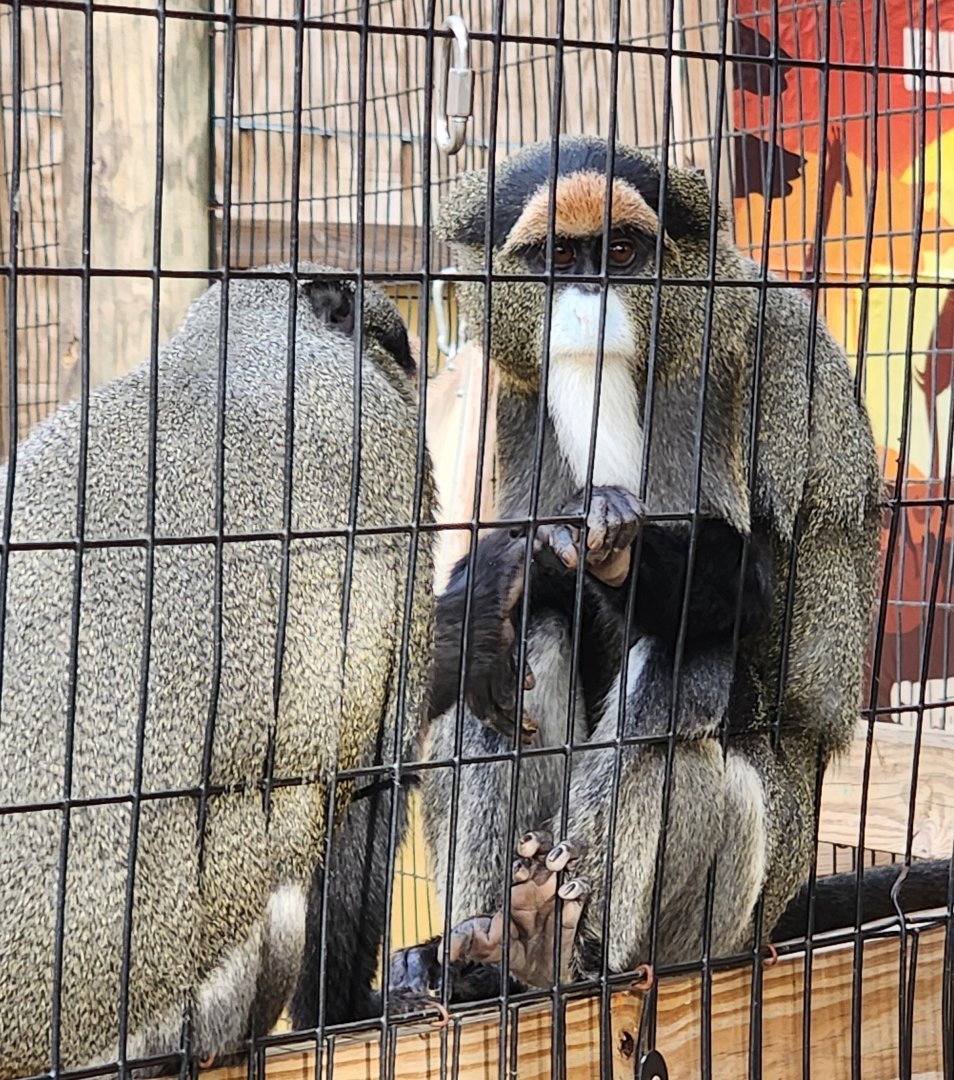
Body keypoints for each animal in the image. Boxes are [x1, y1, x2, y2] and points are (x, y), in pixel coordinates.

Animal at [0, 266, 435, 1077]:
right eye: (394, 346)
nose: (411, 367)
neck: (231, 354)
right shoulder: (398, 475)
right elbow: (372, 785)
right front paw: (351, 1011)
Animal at [386, 134, 900, 1004]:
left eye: (622, 253)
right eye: (560, 257)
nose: (588, 298)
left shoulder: (778, 370)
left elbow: (772, 618)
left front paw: (613, 547)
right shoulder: (503, 398)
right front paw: (515, 571)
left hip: (727, 916)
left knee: (685, 676)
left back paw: (554, 945)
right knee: (518, 650)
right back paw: (488, 956)